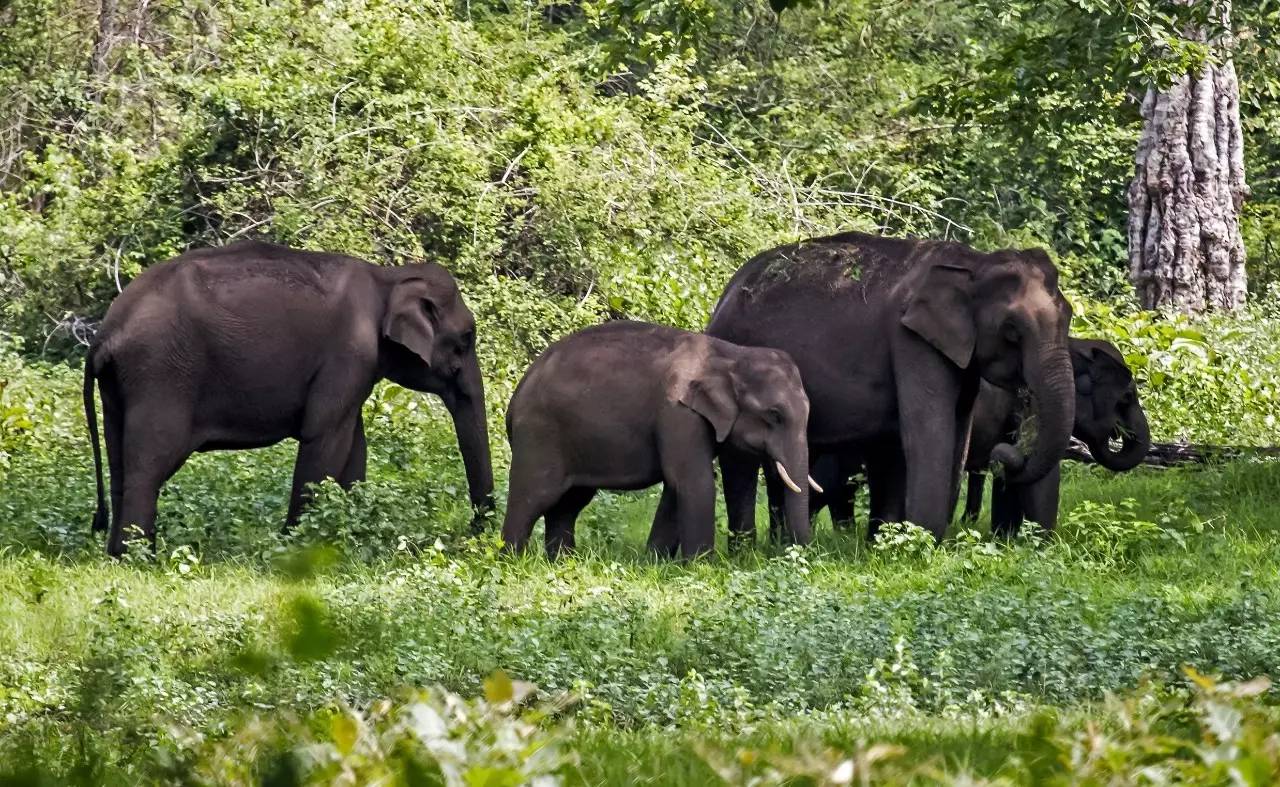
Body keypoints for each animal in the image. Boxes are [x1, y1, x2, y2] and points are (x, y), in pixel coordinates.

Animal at [83, 240, 494, 555]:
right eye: (466, 339)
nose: (475, 531)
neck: (388, 278)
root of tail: (105, 333)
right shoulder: (350, 352)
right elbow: (324, 437)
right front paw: (297, 545)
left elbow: (353, 445)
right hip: (161, 374)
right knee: (149, 464)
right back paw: (140, 558)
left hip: (121, 386)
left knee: (121, 463)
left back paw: (116, 555)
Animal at [496, 319, 808, 560]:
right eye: (775, 415)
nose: (794, 555)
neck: (729, 354)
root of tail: (515, 398)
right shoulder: (677, 414)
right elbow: (695, 481)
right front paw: (701, 566)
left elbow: (676, 485)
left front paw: (655, 562)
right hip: (539, 435)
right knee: (533, 496)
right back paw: (512, 562)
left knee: (569, 503)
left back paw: (562, 562)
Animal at [706, 230, 1075, 545]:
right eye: (1011, 330)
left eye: (1069, 316)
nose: (1008, 454)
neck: (972, 263)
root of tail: (724, 296)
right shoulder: (910, 341)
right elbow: (928, 432)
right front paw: (922, 544)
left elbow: (958, 434)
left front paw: (902, 543)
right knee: (739, 460)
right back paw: (748, 550)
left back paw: (781, 545)